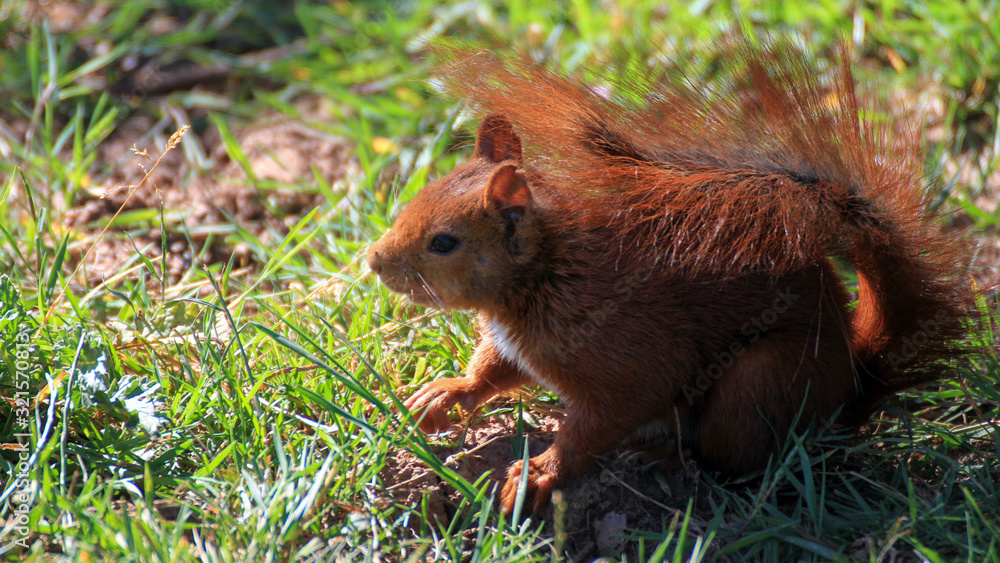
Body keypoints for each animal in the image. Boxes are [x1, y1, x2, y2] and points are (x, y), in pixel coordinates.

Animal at [367, 38, 979, 514]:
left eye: (444, 242)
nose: (374, 261)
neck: (546, 274)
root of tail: (848, 396)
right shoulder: (516, 344)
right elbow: (493, 370)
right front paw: (445, 393)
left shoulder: (625, 359)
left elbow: (597, 424)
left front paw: (540, 472)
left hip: (758, 383)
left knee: (732, 462)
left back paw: (664, 456)